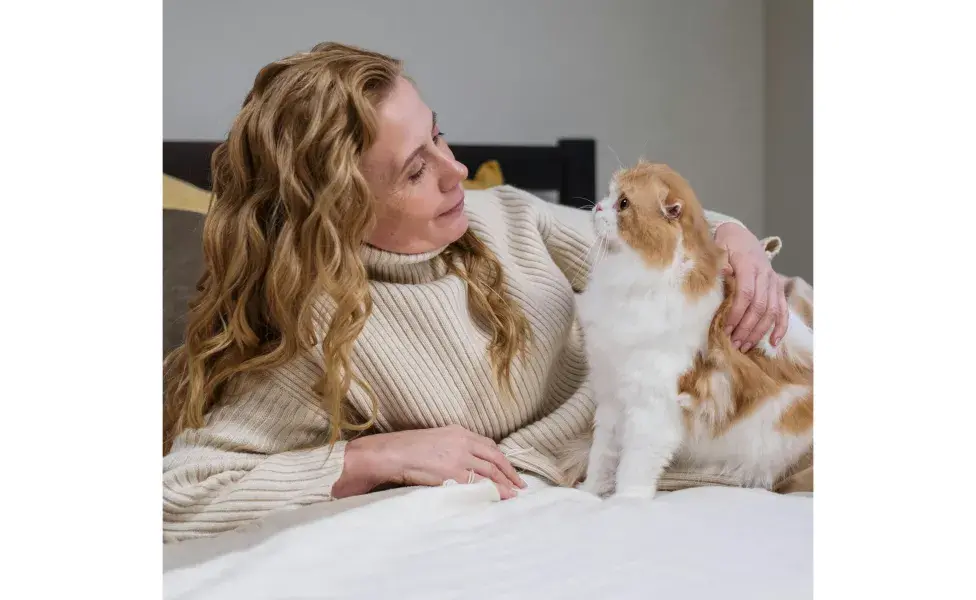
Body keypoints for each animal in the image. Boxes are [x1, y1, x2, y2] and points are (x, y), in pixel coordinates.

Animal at [560, 162, 812, 500]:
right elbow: (602, 459)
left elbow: (632, 471)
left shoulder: (651, 412)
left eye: (623, 203)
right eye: (609, 194)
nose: (598, 206)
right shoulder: (613, 399)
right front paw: (590, 493)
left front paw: (624, 503)